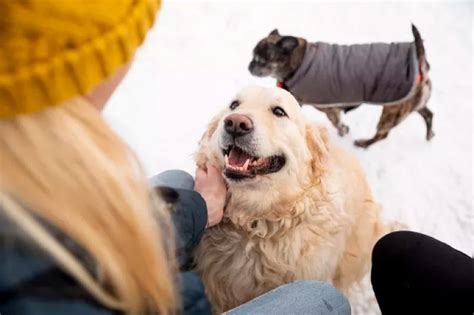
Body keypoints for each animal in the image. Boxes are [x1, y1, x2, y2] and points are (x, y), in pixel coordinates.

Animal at [248, 27, 434, 148]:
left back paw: (364, 143)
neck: (299, 61)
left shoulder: (330, 109)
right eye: (253, 57)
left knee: (382, 134)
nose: (249, 66)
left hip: (391, 112)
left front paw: (343, 130)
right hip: (411, 106)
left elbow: (337, 122)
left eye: (260, 60)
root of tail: (420, 65)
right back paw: (430, 134)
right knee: (429, 114)